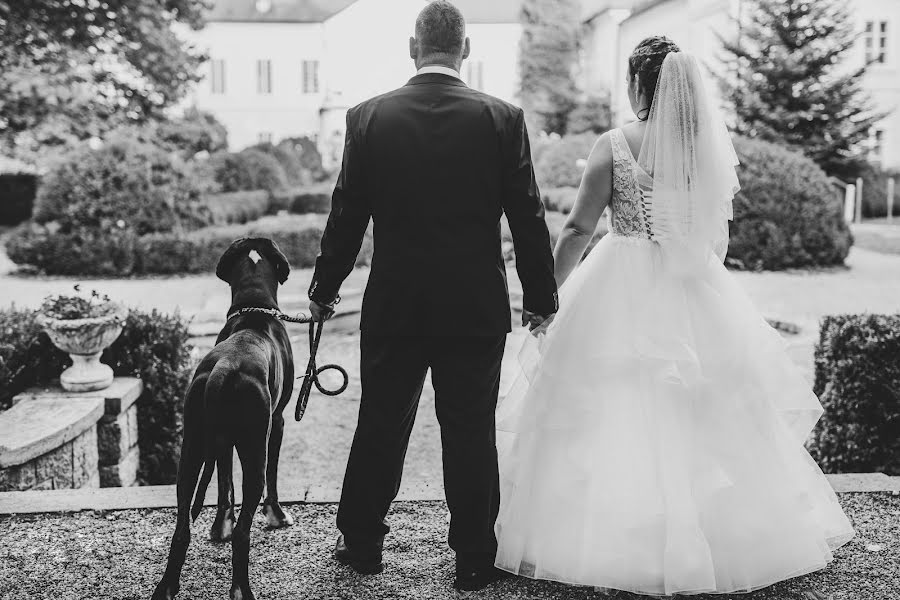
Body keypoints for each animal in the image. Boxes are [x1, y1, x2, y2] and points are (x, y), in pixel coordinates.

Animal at [153, 238, 296, 600]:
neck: (254, 311)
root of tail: (224, 368)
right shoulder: (277, 422)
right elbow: (271, 479)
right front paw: (277, 515)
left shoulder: (221, 441)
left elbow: (222, 482)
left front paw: (220, 526)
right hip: (254, 448)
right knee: (246, 528)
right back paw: (241, 589)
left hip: (191, 448)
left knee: (182, 526)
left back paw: (167, 585)